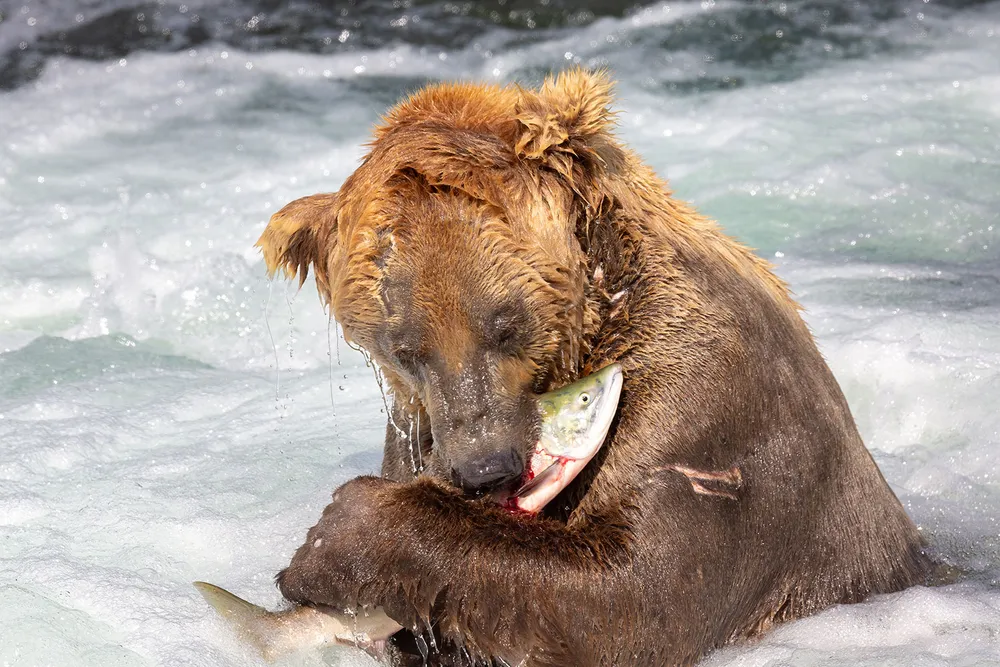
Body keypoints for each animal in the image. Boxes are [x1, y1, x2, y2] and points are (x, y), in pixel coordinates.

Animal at [256, 70, 931, 666]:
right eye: (404, 348)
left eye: (505, 322)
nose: (484, 468)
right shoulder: (417, 427)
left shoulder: (706, 405)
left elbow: (636, 596)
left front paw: (340, 532)